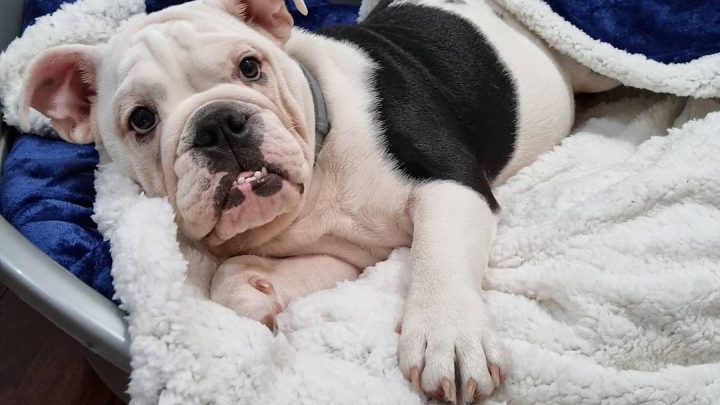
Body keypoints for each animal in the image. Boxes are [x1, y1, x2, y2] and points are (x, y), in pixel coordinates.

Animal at [16, 0, 616, 400]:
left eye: (250, 66)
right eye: (141, 120)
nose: (218, 124)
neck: (319, 167)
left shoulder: (451, 183)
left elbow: (438, 257)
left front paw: (447, 336)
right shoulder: (343, 255)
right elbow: (231, 281)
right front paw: (257, 293)